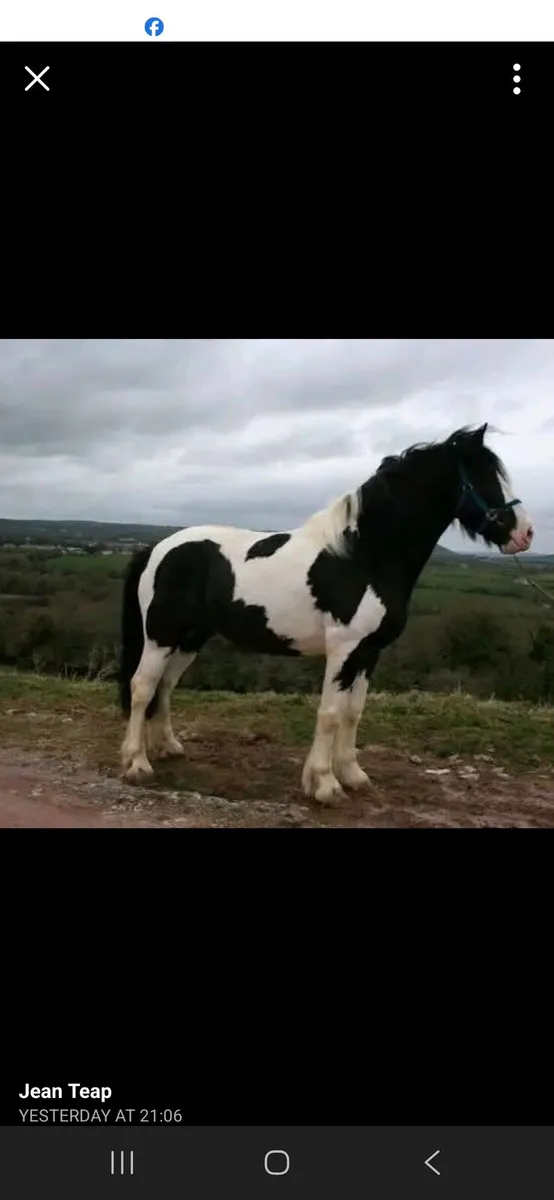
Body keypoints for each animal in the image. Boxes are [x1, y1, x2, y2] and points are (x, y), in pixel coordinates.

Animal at [119, 423, 533, 803]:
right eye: (486, 476)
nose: (526, 534)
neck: (364, 557)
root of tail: (158, 547)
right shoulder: (344, 650)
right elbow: (331, 712)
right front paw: (324, 784)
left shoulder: (368, 653)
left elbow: (353, 712)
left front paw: (352, 775)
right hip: (160, 635)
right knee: (142, 687)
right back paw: (137, 763)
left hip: (189, 638)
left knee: (165, 686)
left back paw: (167, 747)